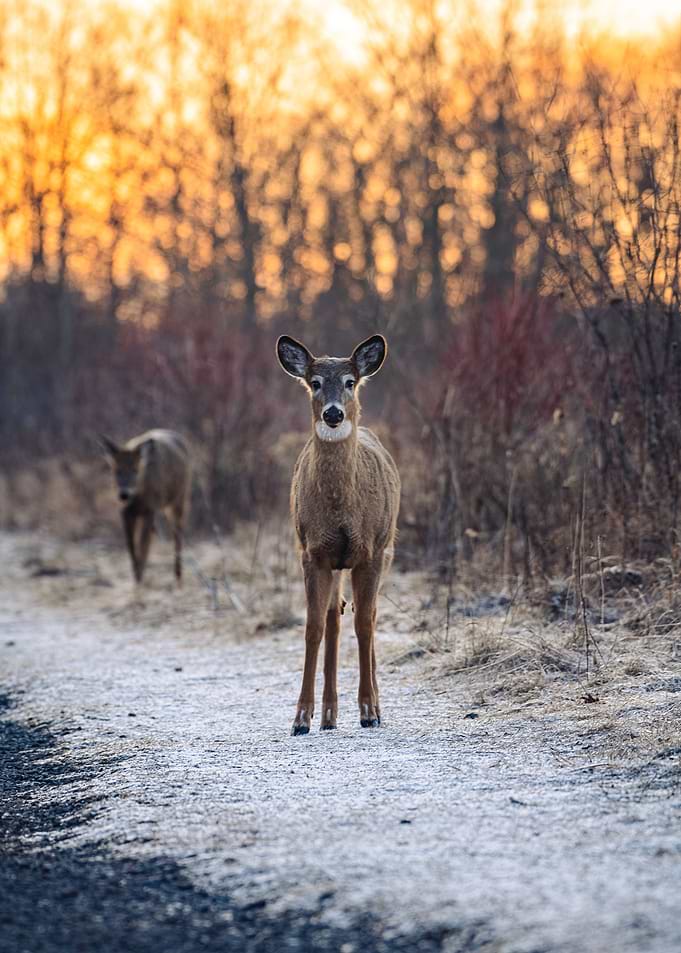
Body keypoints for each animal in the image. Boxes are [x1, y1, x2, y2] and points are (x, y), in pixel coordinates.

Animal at [101, 429, 191, 585]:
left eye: (135, 470)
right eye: (117, 471)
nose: (124, 494)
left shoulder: (150, 510)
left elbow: (142, 546)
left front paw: (139, 580)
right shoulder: (125, 513)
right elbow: (131, 547)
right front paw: (136, 577)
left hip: (178, 499)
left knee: (177, 534)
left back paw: (178, 577)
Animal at [276, 334, 400, 735]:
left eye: (350, 382)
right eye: (314, 383)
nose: (333, 414)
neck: (340, 509)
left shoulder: (371, 551)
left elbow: (365, 623)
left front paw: (369, 710)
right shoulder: (313, 552)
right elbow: (313, 627)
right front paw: (301, 718)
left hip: (387, 549)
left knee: (369, 614)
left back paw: (372, 707)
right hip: (335, 564)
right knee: (334, 616)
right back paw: (329, 715)